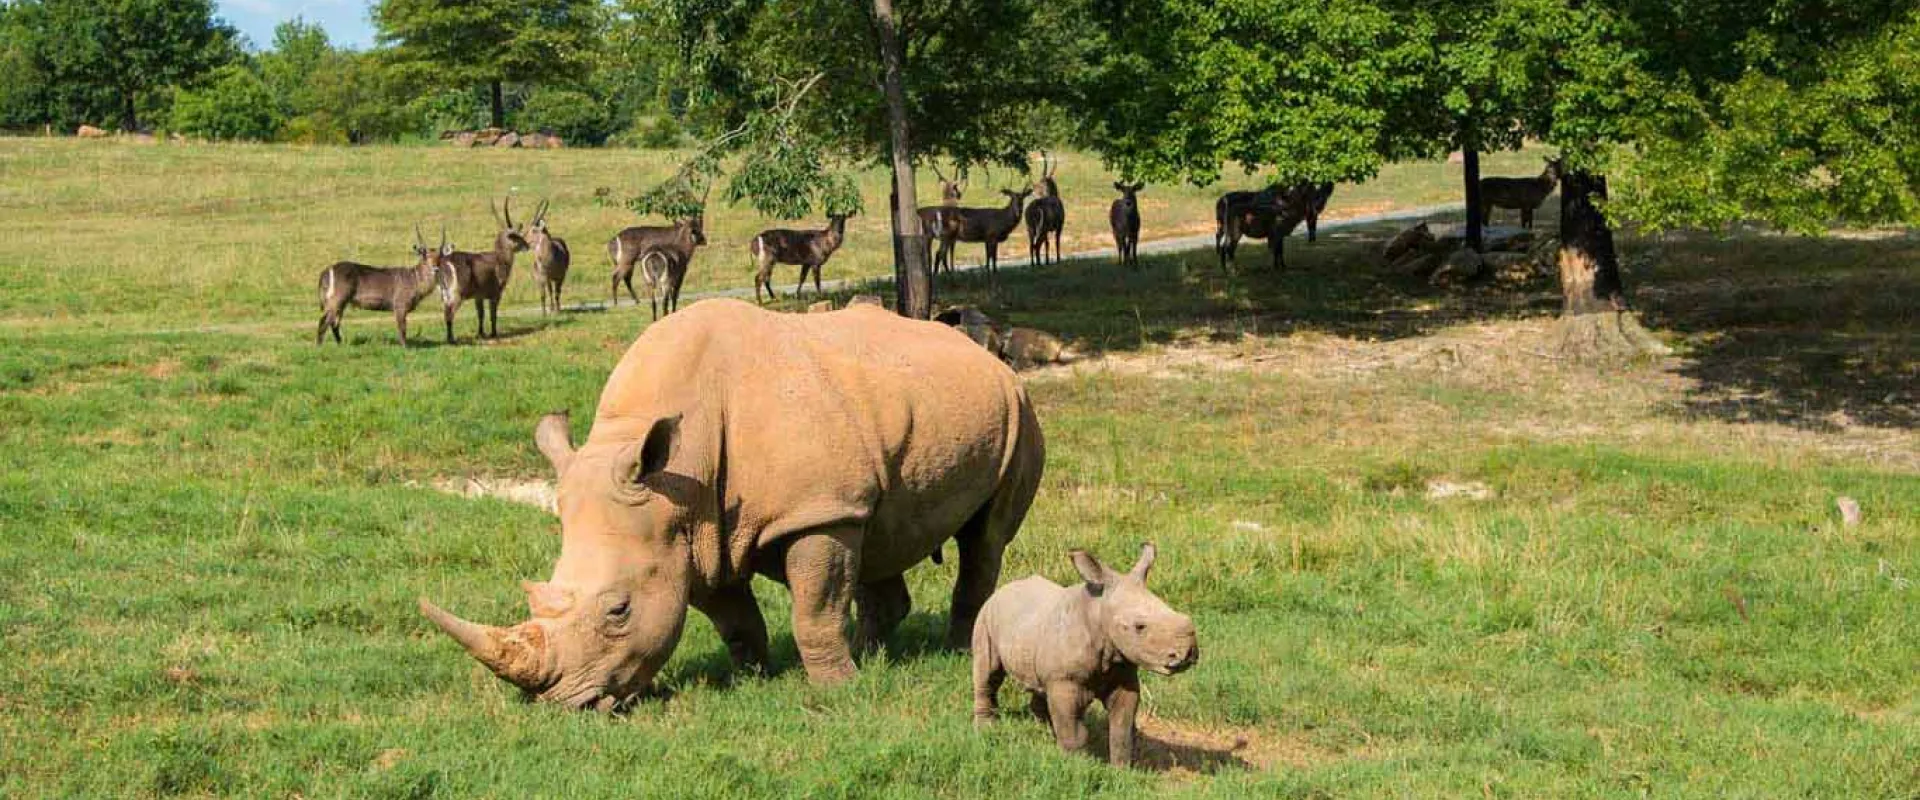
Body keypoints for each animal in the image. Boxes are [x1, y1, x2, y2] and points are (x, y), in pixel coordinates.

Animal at [315, 225, 454, 347]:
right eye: (425, 256)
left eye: (440, 257)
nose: (435, 268)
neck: (414, 279)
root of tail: (326, 271)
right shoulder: (400, 305)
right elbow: (402, 328)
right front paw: (405, 347)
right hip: (337, 299)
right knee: (324, 321)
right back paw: (319, 346)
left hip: (340, 302)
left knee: (334, 323)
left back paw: (340, 344)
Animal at [420, 298, 1046, 710]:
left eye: (619, 610)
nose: (562, 703)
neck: (676, 470)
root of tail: (983, 348)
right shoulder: (691, 533)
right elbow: (734, 618)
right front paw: (752, 677)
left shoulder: (812, 513)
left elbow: (814, 610)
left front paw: (837, 690)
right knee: (878, 529)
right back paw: (876, 653)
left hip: (1017, 409)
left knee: (984, 538)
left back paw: (955, 648)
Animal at [443, 195, 530, 342]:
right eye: (516, 237)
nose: (528, 245)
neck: (500, 258)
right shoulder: (496, 294)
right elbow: (493, 314)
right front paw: (493, 333)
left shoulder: (479, 296)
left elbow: (481, 314)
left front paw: (481, 334)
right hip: (457, 294)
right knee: (449, 313)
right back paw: (451, 340)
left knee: (445, 312)